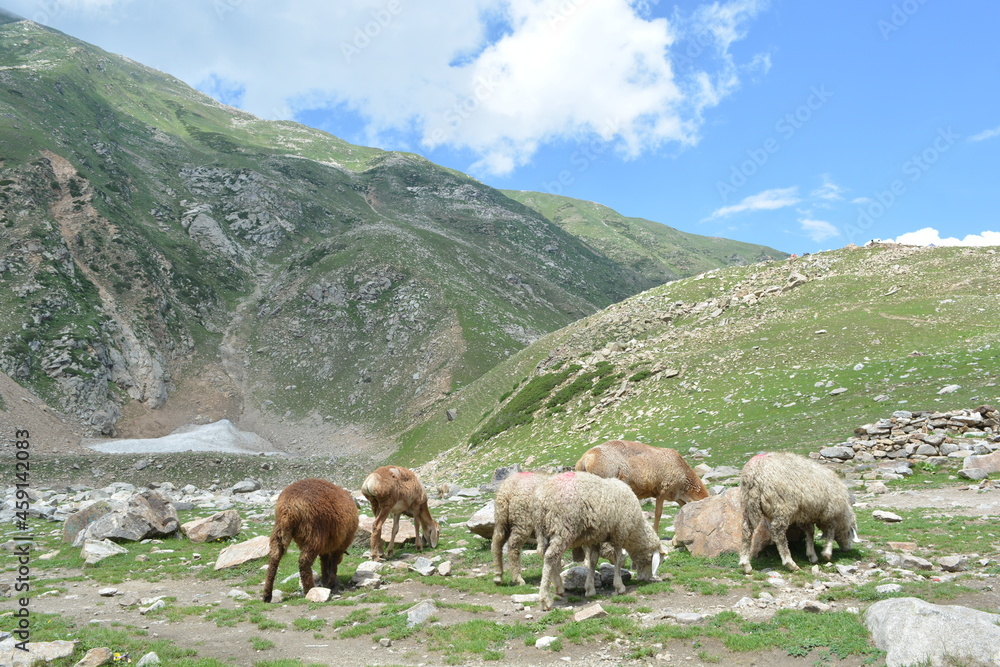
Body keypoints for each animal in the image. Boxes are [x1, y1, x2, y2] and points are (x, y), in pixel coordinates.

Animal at [535, 471, 665, 611]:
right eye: (654, 561)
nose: (646, 579)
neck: (635, 528)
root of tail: (544, 497)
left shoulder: (596, 538)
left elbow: (593, 560)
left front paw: (590, 589)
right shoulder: (619, 534)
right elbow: (618, 559)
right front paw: (619, 587)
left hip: (544, 530)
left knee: (548, 556)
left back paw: (559, 587)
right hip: (563, 527)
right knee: (550, 557)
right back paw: (545, 599)